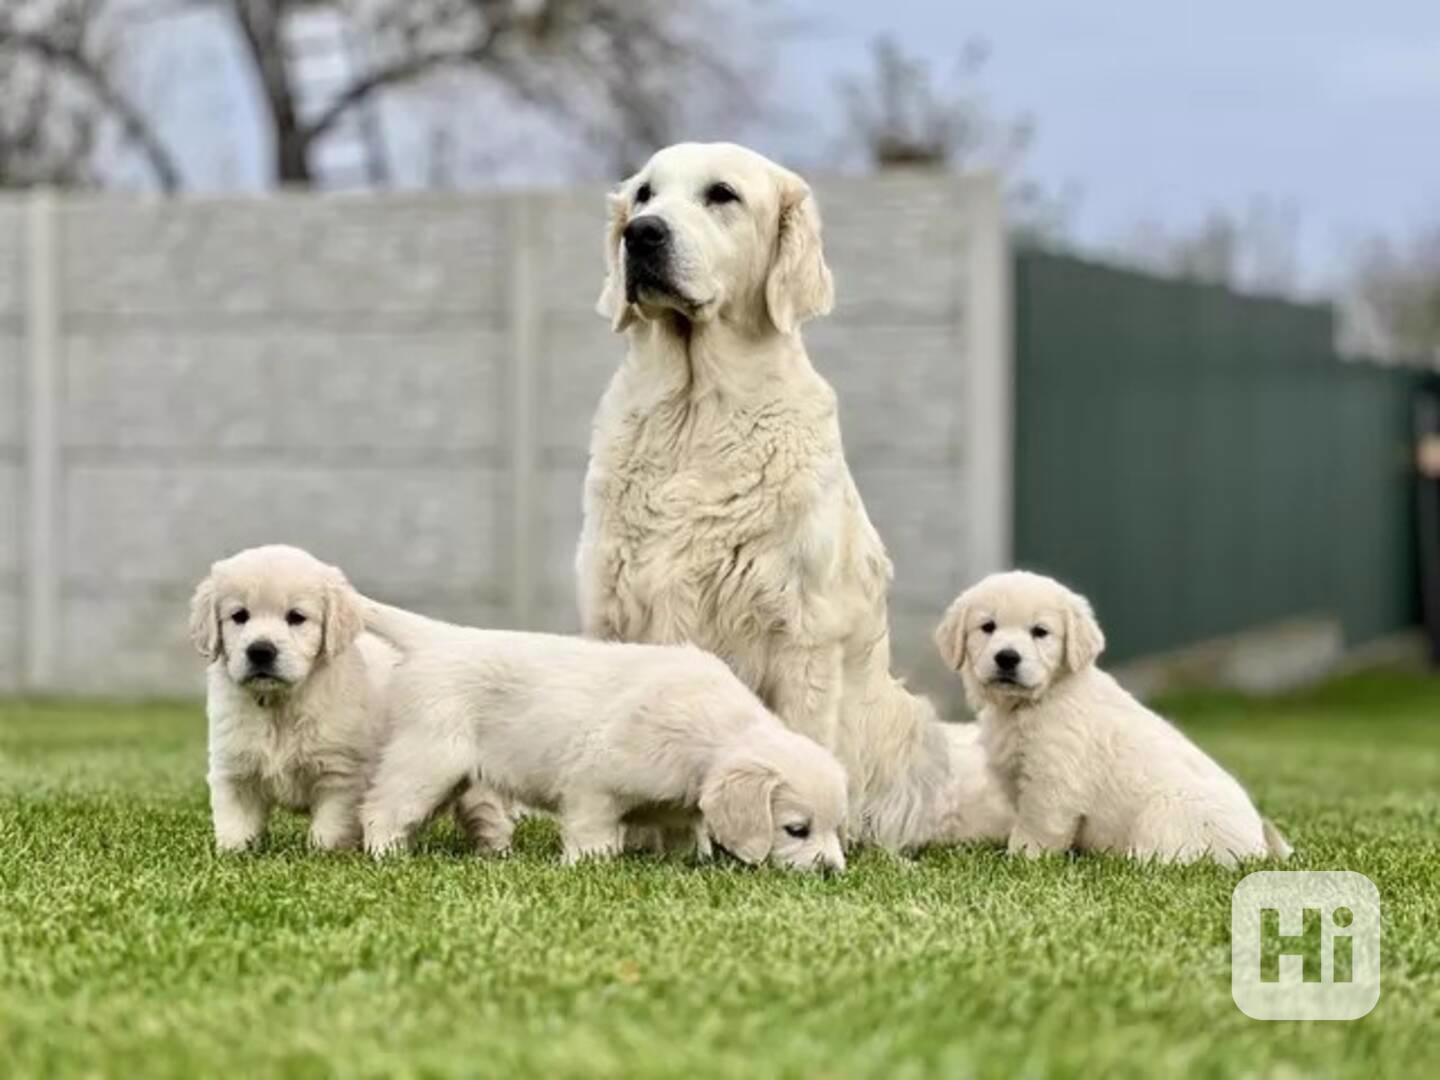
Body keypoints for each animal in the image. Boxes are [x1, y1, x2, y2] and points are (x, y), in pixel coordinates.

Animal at [360, 596, 846, 875]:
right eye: (796, 829)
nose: (833, 871)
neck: (709, 727)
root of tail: (441, 639)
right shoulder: (594, 786)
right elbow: (592, 833)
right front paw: (587, 865)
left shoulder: (677, 806)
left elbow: (683, 834)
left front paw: (687, 861)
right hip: (429, 759)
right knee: (383, 809)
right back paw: (387, 855)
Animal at [576, 141, 1013, 852]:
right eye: (643, 195)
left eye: (721, 195)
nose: (642, 235)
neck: (695, 412)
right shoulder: (611, 612)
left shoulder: (802, 630)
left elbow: (800, 739)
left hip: (909, 720)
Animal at [933, 570, 1296, 869]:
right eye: (987, 627)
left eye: (1040, 632)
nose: (1007, 657)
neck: (1034, 703)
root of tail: (1260, 848)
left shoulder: (1052, 781)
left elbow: (1037, 827)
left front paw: (1021, 858)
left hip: (1166, 812)